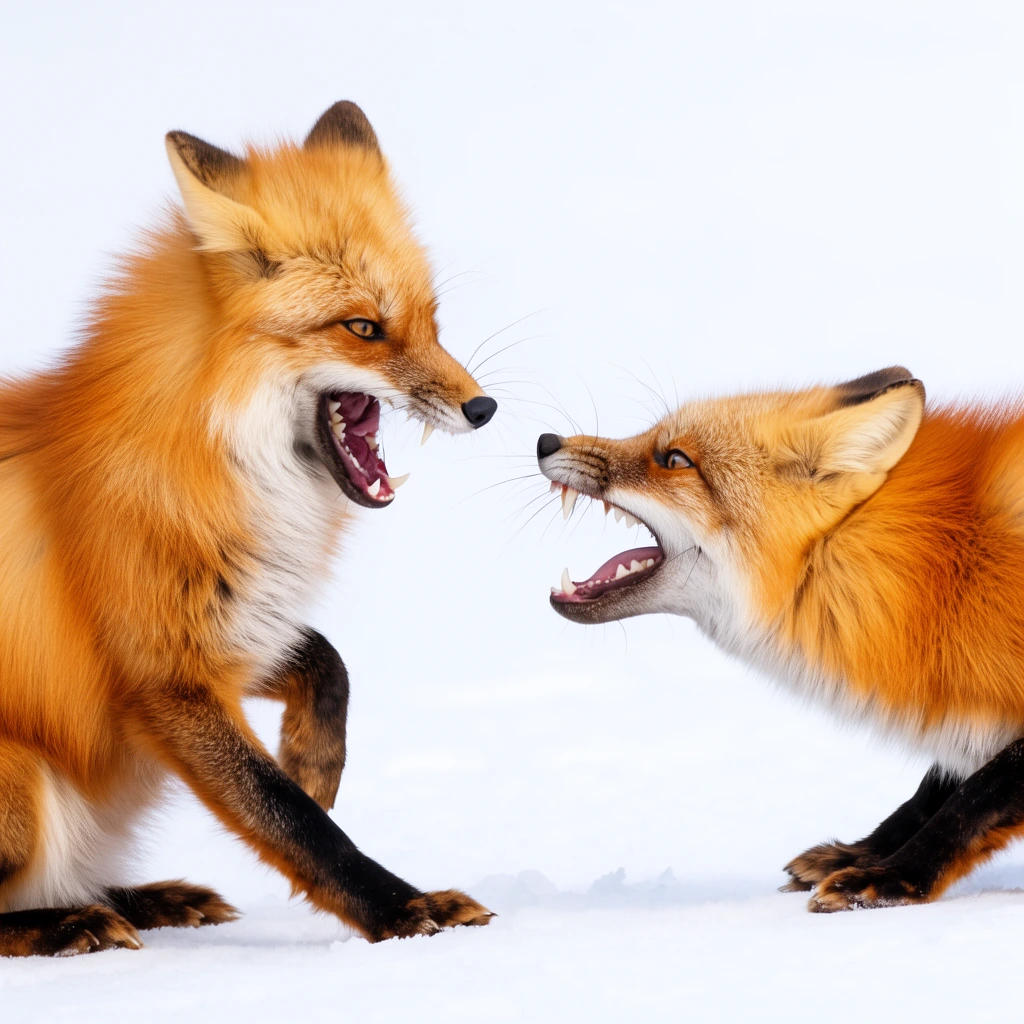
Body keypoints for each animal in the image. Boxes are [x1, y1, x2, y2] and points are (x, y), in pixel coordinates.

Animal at [0, 101, 498, 957]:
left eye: (433, 321)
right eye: (364, 328)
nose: (483, 407)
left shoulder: (234, 626)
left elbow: (325, 661)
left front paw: (315, 758)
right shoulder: (165, 680)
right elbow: (292, 822)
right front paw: (402, 911)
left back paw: (148, 898)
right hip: (21, 784)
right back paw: (72, 920)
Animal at [537, 367, 1024, 913]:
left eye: (676, 460)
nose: (545, 441)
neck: (947, 575)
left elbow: (972, 799)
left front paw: (892, 877)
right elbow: (931, 794)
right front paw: (857, 854)